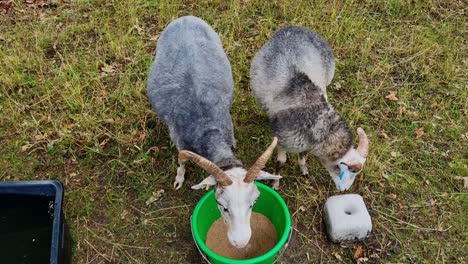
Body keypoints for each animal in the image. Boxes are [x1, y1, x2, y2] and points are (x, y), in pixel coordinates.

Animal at [146, 16, 280, 248]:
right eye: (222, 205)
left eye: (254, 201)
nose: (241, 242)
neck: (207, 128)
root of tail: (185, 17)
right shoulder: (182, 142)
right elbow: (182, 161)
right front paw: (179, 179)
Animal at [250, 26, 368, 192]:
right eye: (345, 172)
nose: (344, 190)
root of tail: (291, 28)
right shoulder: (282, 142)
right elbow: (281, 162)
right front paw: (276, 183)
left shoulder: (304, 144)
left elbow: (302, 156)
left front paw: (304, 170)